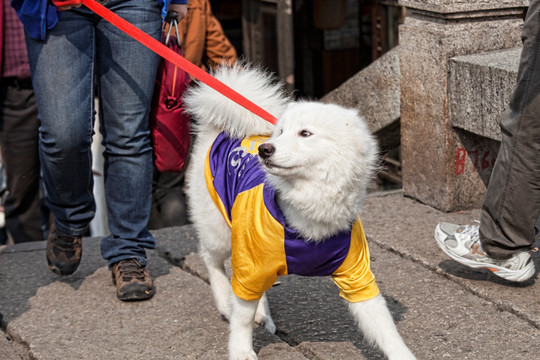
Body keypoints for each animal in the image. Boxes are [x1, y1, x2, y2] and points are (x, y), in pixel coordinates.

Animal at [184, 65, 416, 360]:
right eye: (281, 131)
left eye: (305, 133)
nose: (264, 149)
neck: (309, 206)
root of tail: (221, 129)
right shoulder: (254, 258)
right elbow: (242, 319)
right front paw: (241, 350)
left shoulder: (357, 275)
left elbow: (384, 326)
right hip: (219, 231)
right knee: (213, 261)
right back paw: (225, 300)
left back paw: (259, 312)